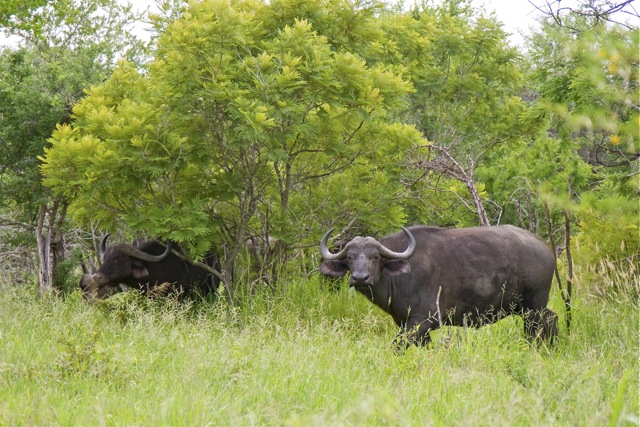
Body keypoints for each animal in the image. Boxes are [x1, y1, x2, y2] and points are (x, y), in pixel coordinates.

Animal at [318, 226, 556, 346]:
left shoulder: (422, 322)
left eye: (375, 257)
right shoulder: (407, 323)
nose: (360, 278)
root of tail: (546, 248)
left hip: (534, 307)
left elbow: (398, 345)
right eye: (349, 257)